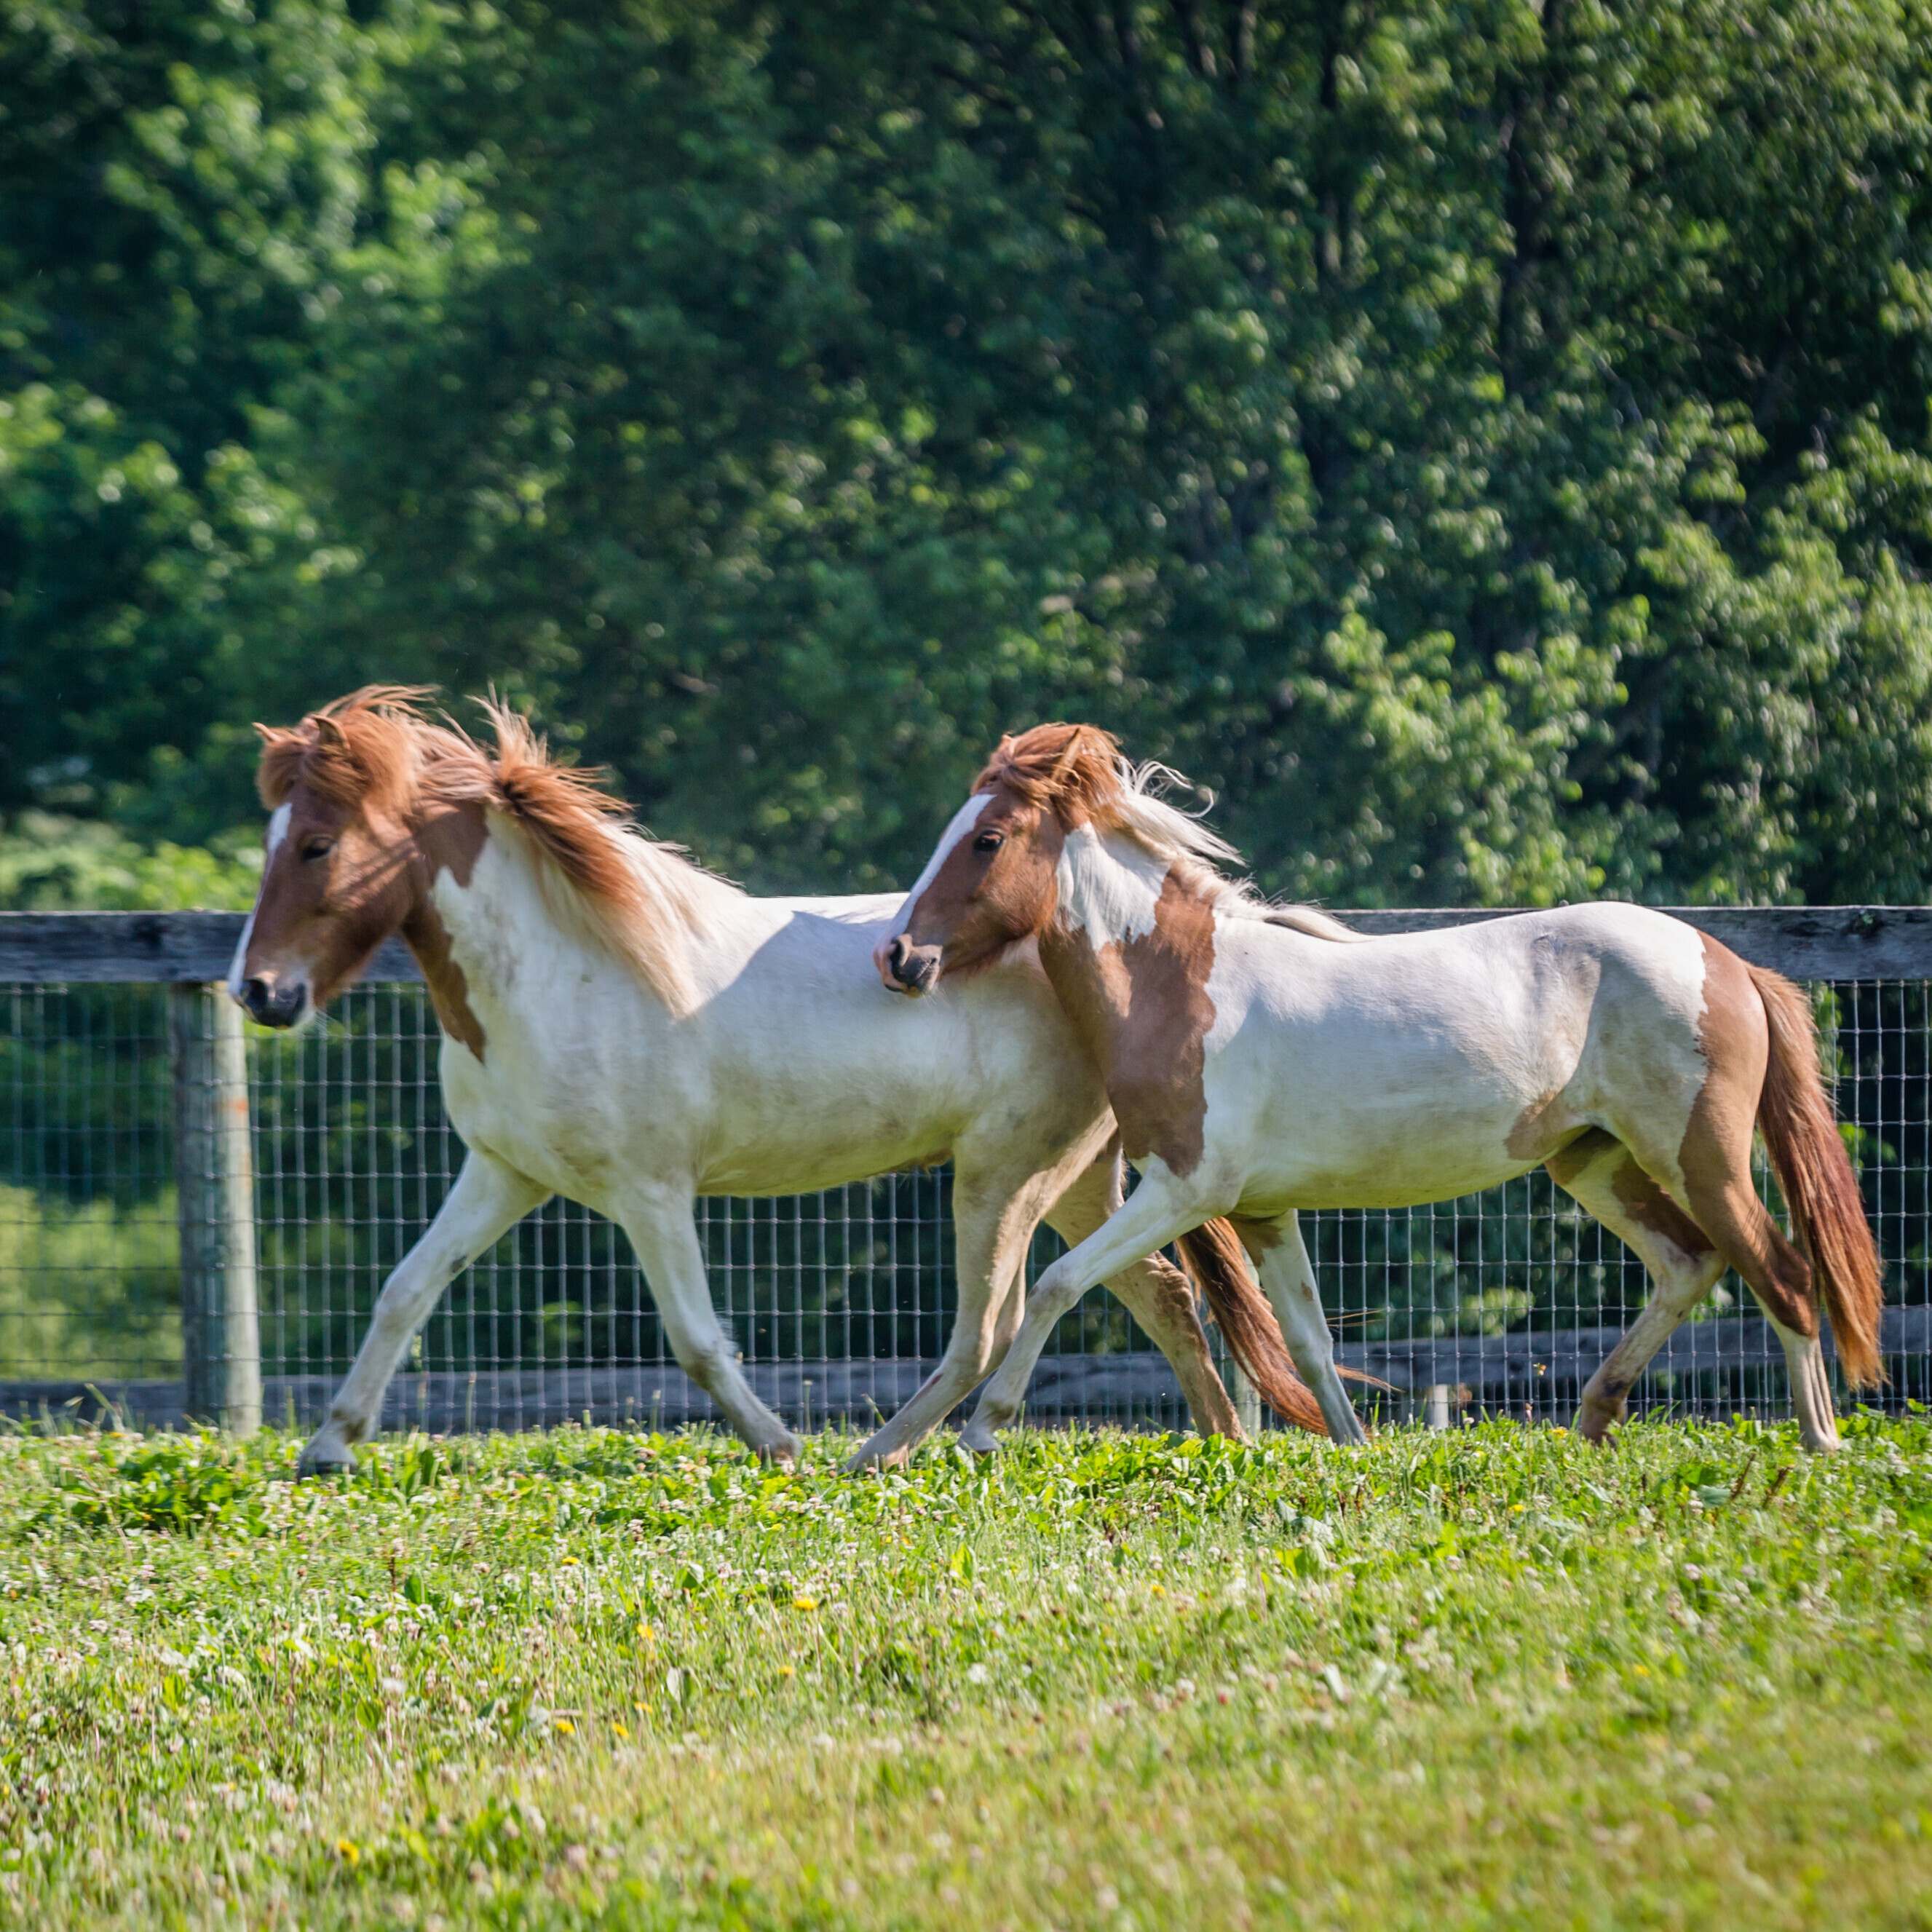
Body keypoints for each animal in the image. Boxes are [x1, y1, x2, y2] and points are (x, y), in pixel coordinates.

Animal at [226, 687, 1321, 1468]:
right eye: (272, 840)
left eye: (317, 844)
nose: (259, 990)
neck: (556, 970)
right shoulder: (504, 1172)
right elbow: (404, 1289)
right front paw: (327, 1446)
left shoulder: (649, 1191)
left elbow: (697, 1340)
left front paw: (780, 1446)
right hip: (1076, 1179)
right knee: (1161, 1295)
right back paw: (1220, 1442)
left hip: (1004, 1175)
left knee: (994, 1322)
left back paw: (878, 1453)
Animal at [876, 726, 1885, 1452]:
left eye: (987, 838)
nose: (897, 955)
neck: (1176, 985)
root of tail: (1726, 961)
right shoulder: (1262, 1209)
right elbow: (1311, 1338)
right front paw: (1353, 1448)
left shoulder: (1184, 1187)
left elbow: (1053, 1283)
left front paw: (978, 1432)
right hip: (1590, 1162)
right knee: (1687, 1263)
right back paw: (1592, 1419)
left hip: (1699, 1153)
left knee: (1782, 1274)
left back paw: (1820, 1443)